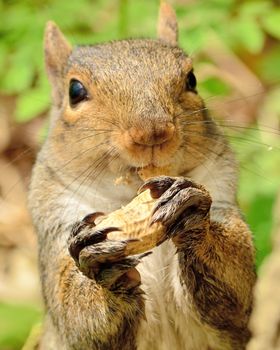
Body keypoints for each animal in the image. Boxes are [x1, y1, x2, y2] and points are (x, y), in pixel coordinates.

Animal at [28, 2, 256, 350]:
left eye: (192, 79)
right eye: (75, 91)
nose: (152, 131)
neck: (130, 192)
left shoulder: (222, 192)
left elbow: (236, 291)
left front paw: (193, 214)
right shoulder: (57, 226)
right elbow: (76, 316)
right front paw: (101, 270)